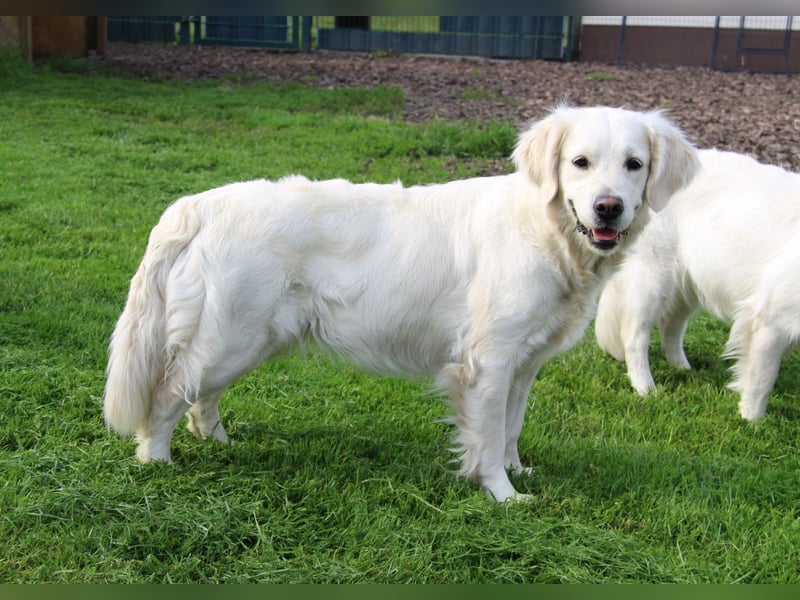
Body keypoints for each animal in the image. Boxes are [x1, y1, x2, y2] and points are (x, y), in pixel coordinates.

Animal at [103, 106, 696, 502]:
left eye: (634, 164)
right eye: (580, 162)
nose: (608, 207)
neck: (547, 231)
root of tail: (197, 204)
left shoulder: (524, 363)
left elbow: (510, 427)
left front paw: (518, 470)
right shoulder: (488, 362)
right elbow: (487, 435)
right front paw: (502, 494)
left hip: (247, 338)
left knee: (200, 399)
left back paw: (220, 441)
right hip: (231, 337)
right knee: (166, 397)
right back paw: (155, 461)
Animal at [592, 148, 800, 420]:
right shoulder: (771, 321)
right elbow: (761, 380)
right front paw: (751, 420)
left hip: (686, 285)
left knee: (671, 328)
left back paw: (682, 368)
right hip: (653, 280)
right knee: (634, 338)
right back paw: (645, 388)